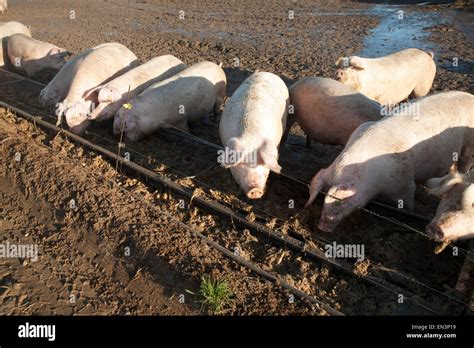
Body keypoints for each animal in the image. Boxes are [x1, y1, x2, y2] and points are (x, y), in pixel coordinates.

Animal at [306, 91, 472, 232]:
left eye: (339, 203)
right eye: (322, 199)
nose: (321, 227)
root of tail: (470, 96)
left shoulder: (404, 182)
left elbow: (408, 203)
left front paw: (409, 215)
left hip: (469, 149)